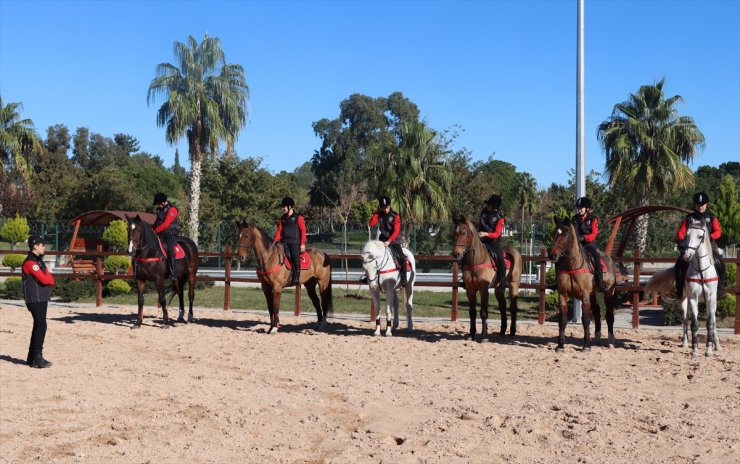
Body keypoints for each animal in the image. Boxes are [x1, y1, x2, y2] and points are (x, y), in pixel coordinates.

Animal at [548, 216, 620, 350]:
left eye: (565, 234)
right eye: (554, 233)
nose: (552, 254)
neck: (572, 266)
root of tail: (610, 260)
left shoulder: (584, 295)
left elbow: (585, 320)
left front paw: (586, 345)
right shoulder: (563, 295)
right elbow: (562, 320)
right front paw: (560, 345)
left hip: (608, 292)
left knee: (609, 315)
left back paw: (611, 341)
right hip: (593, 294)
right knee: (597, 312)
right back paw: (597, 337)